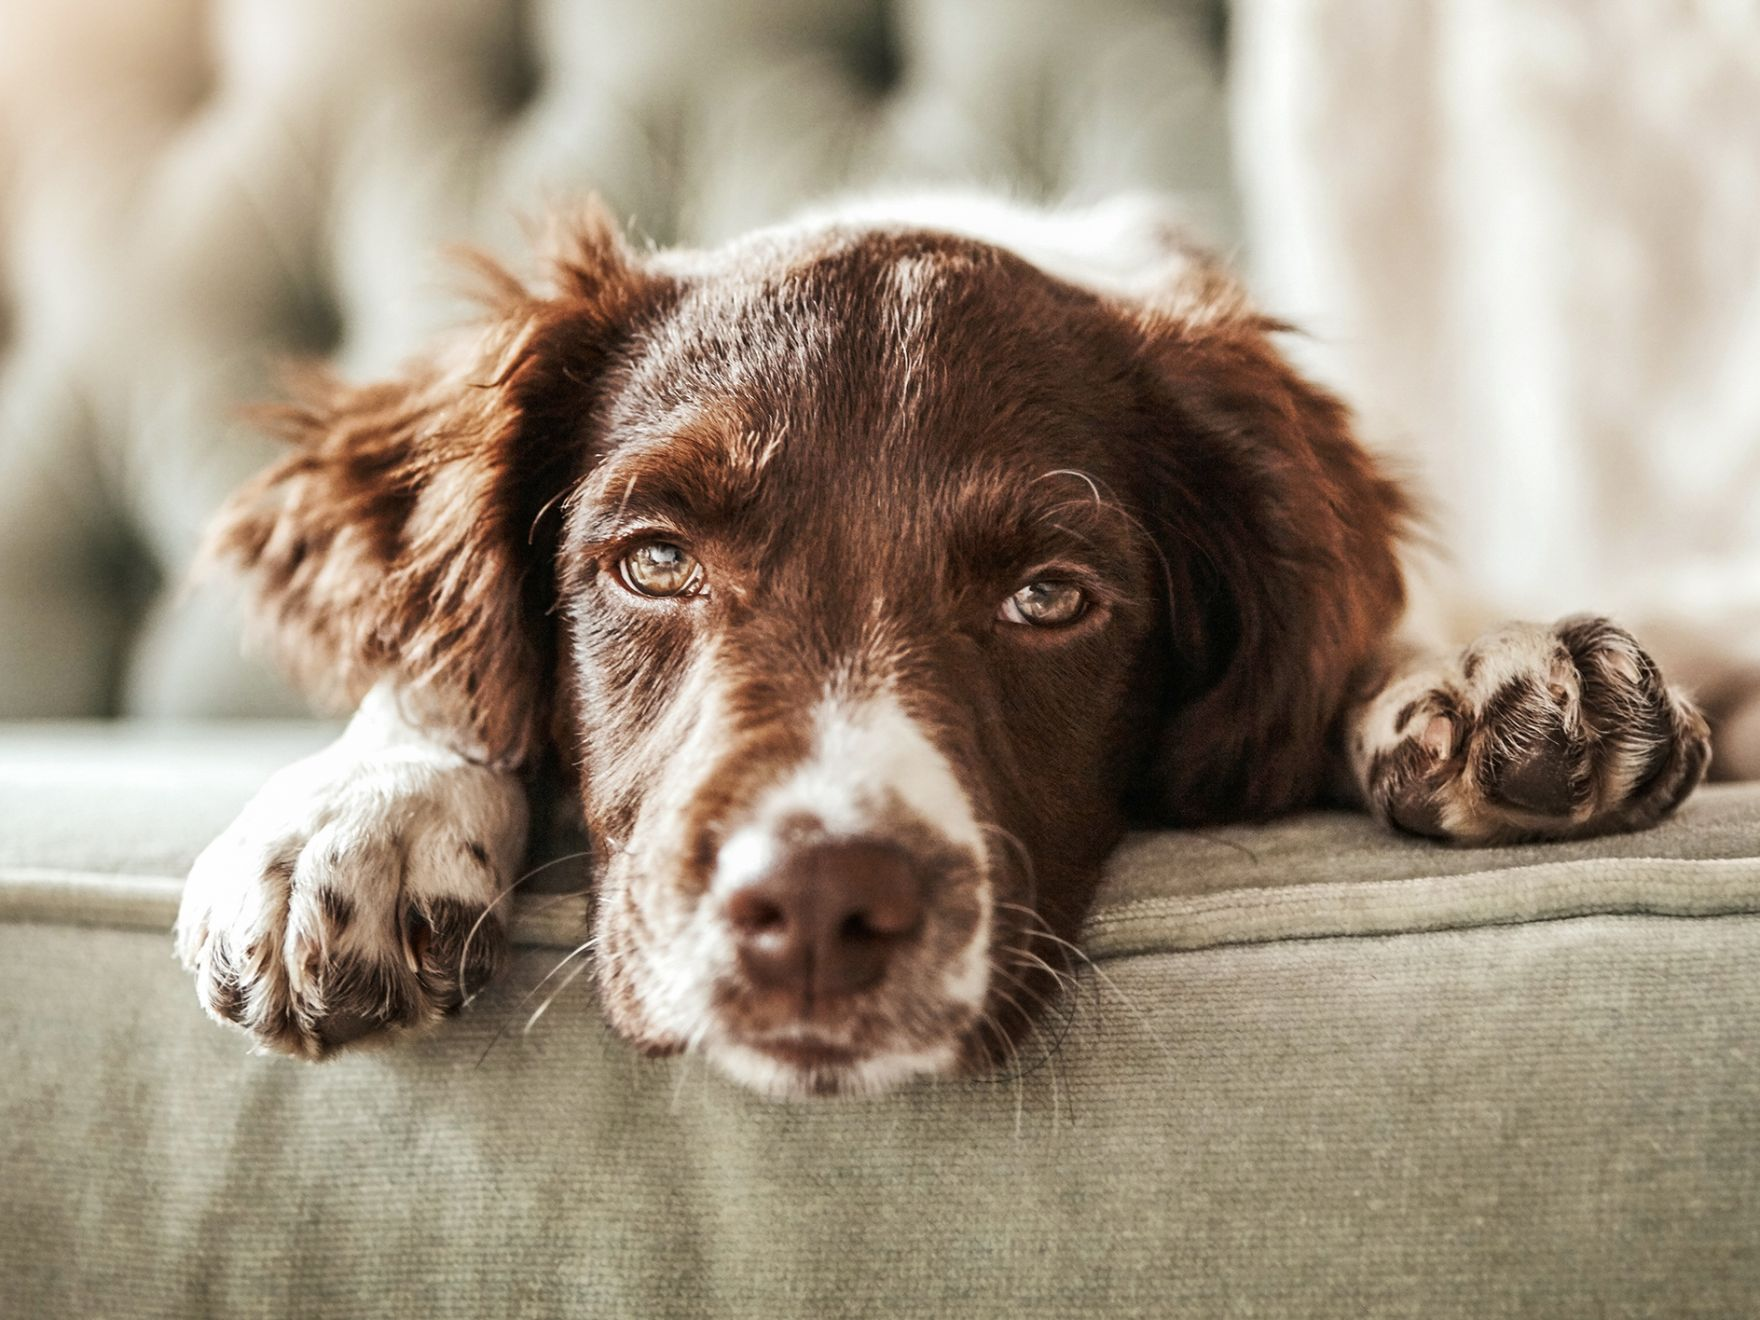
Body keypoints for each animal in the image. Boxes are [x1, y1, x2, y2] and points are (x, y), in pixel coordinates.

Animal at [171, 196, 1710, 1098]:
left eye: (1051, 598)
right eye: (654, 561)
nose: (815, 907)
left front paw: (1489, 679)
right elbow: (434, 672)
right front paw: (351, 819)